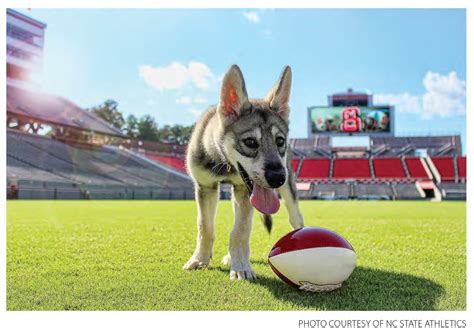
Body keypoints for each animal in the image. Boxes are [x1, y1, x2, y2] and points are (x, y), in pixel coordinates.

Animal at [183, 65, 306, 280]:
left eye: (280, 141)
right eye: (250, 142)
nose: (277, 178)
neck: (224, 163)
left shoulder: (243, 190)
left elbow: (240, 231)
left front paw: (241, 267)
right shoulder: (205, 187)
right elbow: (205, 227)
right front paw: (199, 259)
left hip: (288, 189)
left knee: (295, 219)